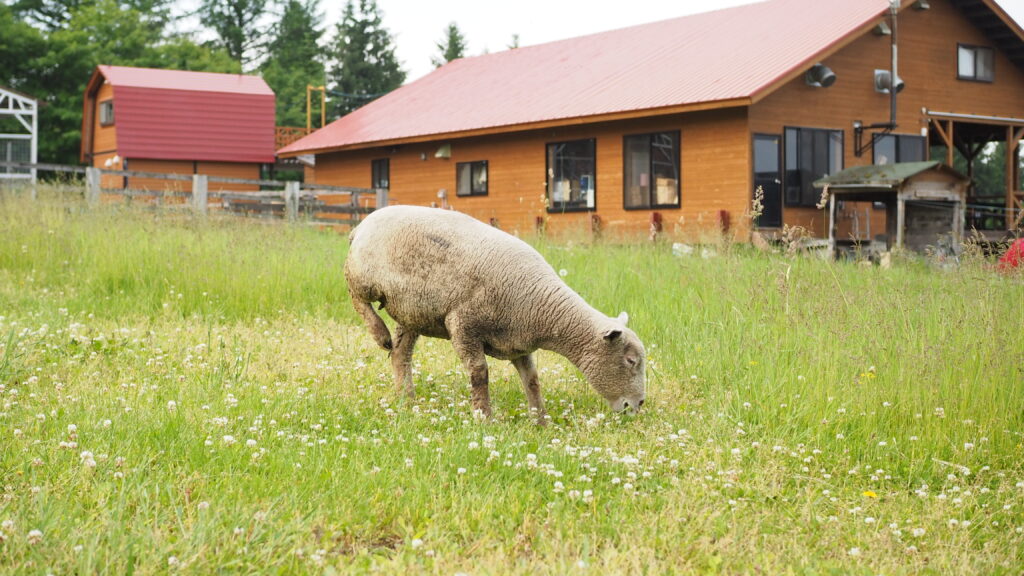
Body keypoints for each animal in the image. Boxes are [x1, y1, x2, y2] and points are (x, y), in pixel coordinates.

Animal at [346, 203, 647, 420]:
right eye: (631, 361)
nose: (639, 403)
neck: (542, 308)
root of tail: (361, 225)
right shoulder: (462, 323)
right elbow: (480, 372)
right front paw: (484, 416)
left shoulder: (518, 344)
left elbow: (532, 381)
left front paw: (540, 421)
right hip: (364, 276)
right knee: (355, 294)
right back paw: (379, 334)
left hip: (412, 311)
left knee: (400, 354)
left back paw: (405, 397)